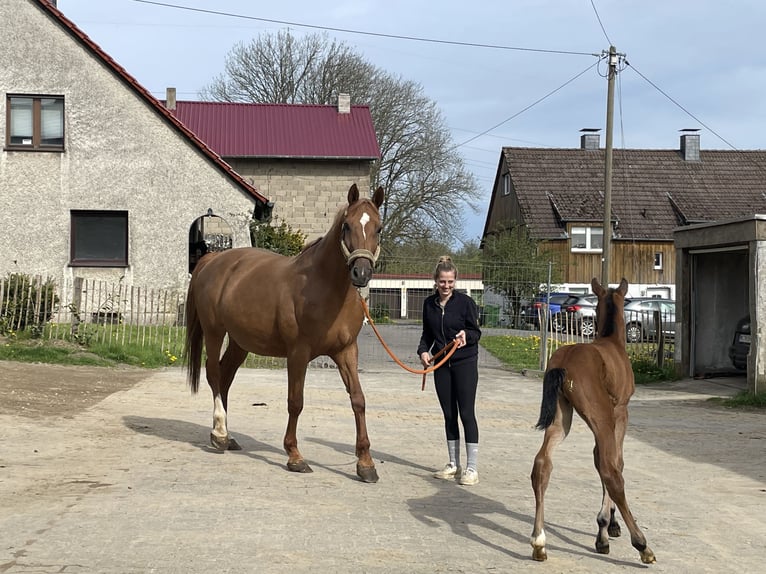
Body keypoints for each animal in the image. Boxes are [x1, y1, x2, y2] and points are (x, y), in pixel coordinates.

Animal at [185, 187, 388, 484]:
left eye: (378, 228)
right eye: (347, 226)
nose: (361, 273)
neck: (325, 287)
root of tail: (212, 259)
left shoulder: (346, 351)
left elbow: (358, 400)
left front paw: (366, 463)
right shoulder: (298, 353)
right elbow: (296, 402)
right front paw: (294, 456)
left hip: (240, 342)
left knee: (225, 376)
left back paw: (228, 436)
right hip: (214, 331)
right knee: (213, 373)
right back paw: (219, 434)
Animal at [532, 280, 656, 568]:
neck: (613, 343)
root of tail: (564, 361)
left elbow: (598, 457)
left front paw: (607, 526)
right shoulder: (620, 413)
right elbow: (615, 462)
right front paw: (607, 529)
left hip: (561, 417)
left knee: (542, 464)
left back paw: (539, 542)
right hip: (601, 416)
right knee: (612, 472)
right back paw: (642, 545)